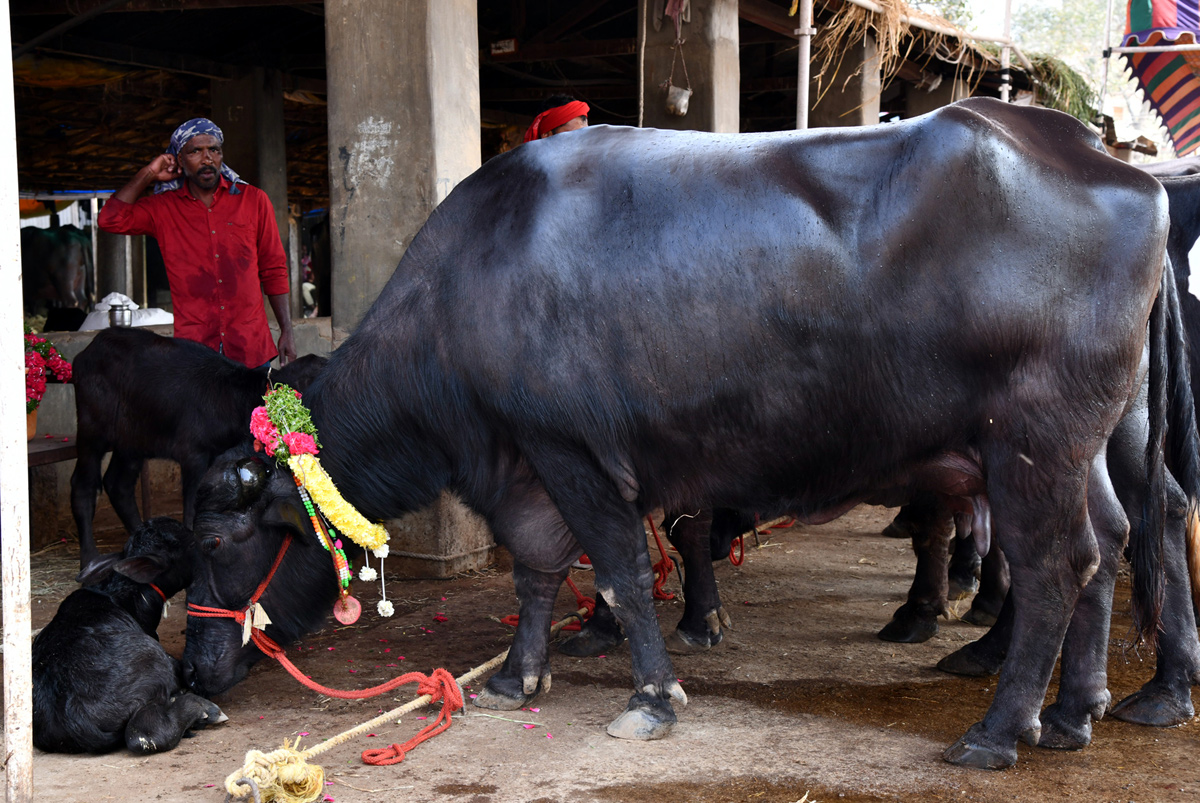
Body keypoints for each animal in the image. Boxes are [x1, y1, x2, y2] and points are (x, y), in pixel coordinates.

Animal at [32, 516, 225, 753]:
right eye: (190, 544)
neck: (122, 594)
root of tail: (76, 722)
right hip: (152, 659)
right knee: (144, 734)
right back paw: (203, 709)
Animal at [72, 326, 326, 568]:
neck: (236, 398)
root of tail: (86, 354)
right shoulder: (193, 457)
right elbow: (191, 506)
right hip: (91, 433)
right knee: (83, 485)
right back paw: (90, 558)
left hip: (132, 443)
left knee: (118, 485)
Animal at [182, 97, 1185, 768]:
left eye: (220, 538)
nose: (192, 668)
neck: (466, 291)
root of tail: (1120, 166)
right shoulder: (529, 467)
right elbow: (538, 569)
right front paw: (513, 677)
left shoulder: (575, 455)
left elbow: (622, 572)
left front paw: (651, 696)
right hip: (1082, 447)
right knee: (1109, 543)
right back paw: (1073, 713)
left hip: (1030, 446)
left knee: (1057, 565)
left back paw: (999, 731)